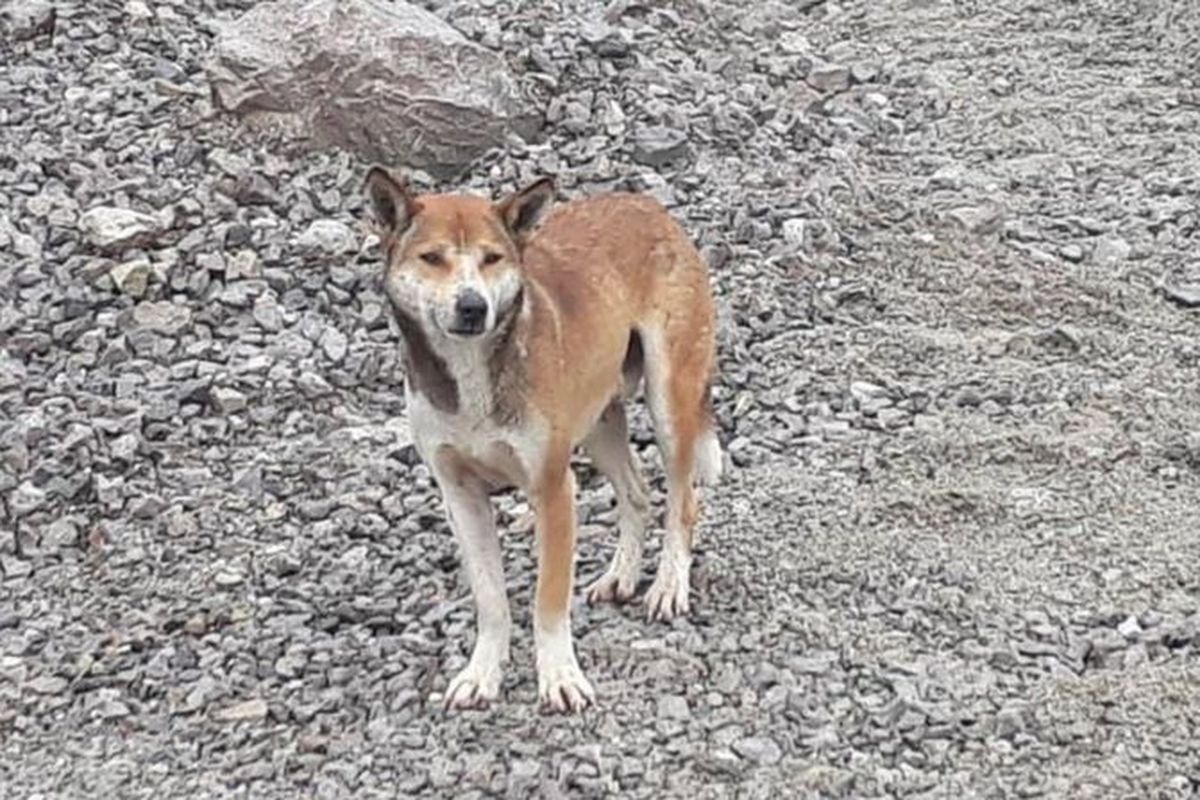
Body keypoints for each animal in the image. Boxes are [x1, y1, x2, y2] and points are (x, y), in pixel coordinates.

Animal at [362, 167, 720, 714]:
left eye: (492, 258)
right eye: (432, 258)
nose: (473, 306)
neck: (472, 377)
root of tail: (647, 207)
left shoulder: (553, 489)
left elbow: (547, 601)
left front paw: (560, 678)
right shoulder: (460, 496)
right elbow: (491, 600)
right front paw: (481, 674)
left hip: (668, 403)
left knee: (682, 501)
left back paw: (668, 586)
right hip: (597, 422)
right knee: (637, 494)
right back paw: (622, 575)